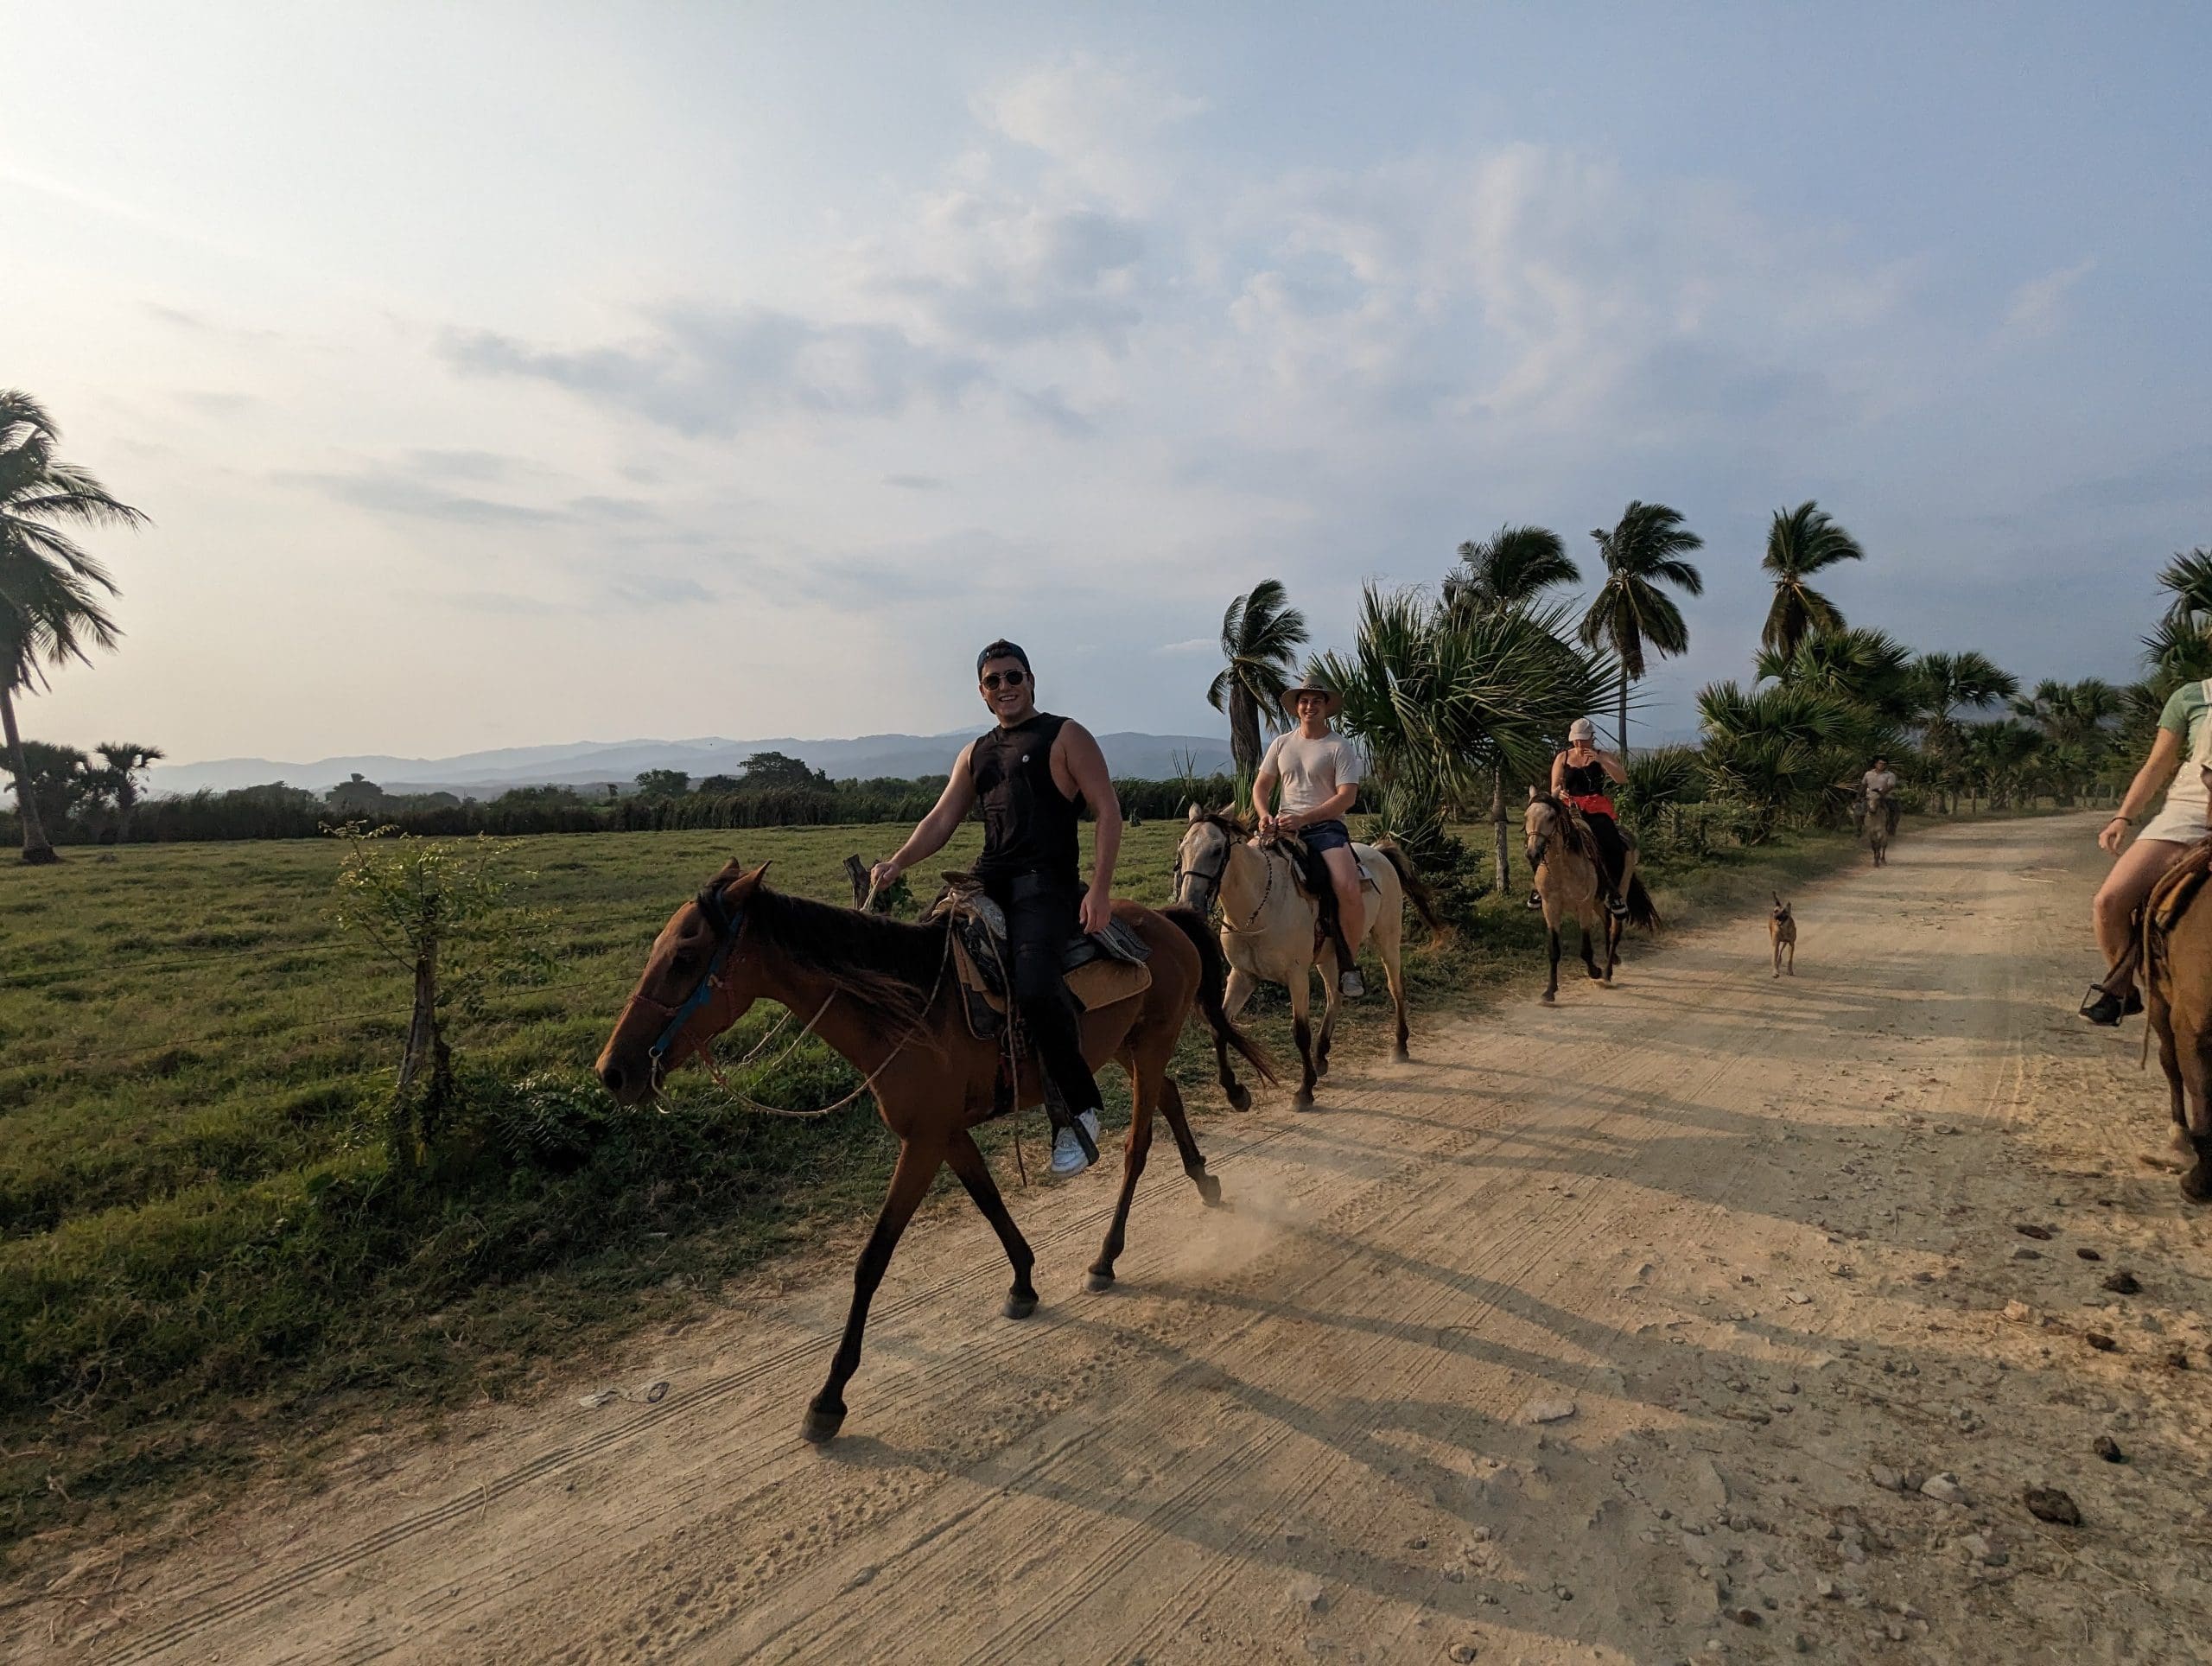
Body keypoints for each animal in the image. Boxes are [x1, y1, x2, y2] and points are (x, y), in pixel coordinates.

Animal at [597, 858, 1282, 1442]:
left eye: (685, 958)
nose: (613, 1072)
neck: (903, 1008)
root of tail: (1165, 921)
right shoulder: (944, 1134)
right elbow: (988, 1200)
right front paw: (1024, 1281)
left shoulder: (923, 1142)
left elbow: (873, 1260)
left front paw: (830, 1396)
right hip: (1122, 1046)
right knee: (1168, 1096)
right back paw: (1203, 1179)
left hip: (1150, 1042)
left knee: (1138, 1146)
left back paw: (1107, 1256)